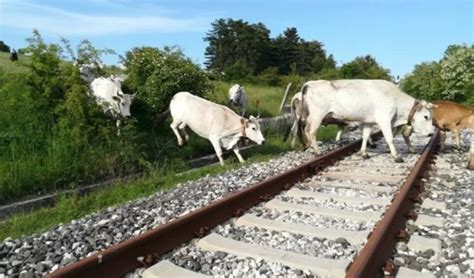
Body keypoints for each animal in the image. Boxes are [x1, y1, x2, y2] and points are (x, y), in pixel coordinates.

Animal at [298, 80, 436, 163]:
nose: (431, 133)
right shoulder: (384, 120)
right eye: (426, 116)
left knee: (306, 130)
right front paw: (396, 156)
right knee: (311, 131)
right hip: (317, 115)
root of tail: (310, 83)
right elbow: (390, 138)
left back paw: (310, 148)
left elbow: (365, 136)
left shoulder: (369, 122)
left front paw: (364, 153)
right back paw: (317, 151)